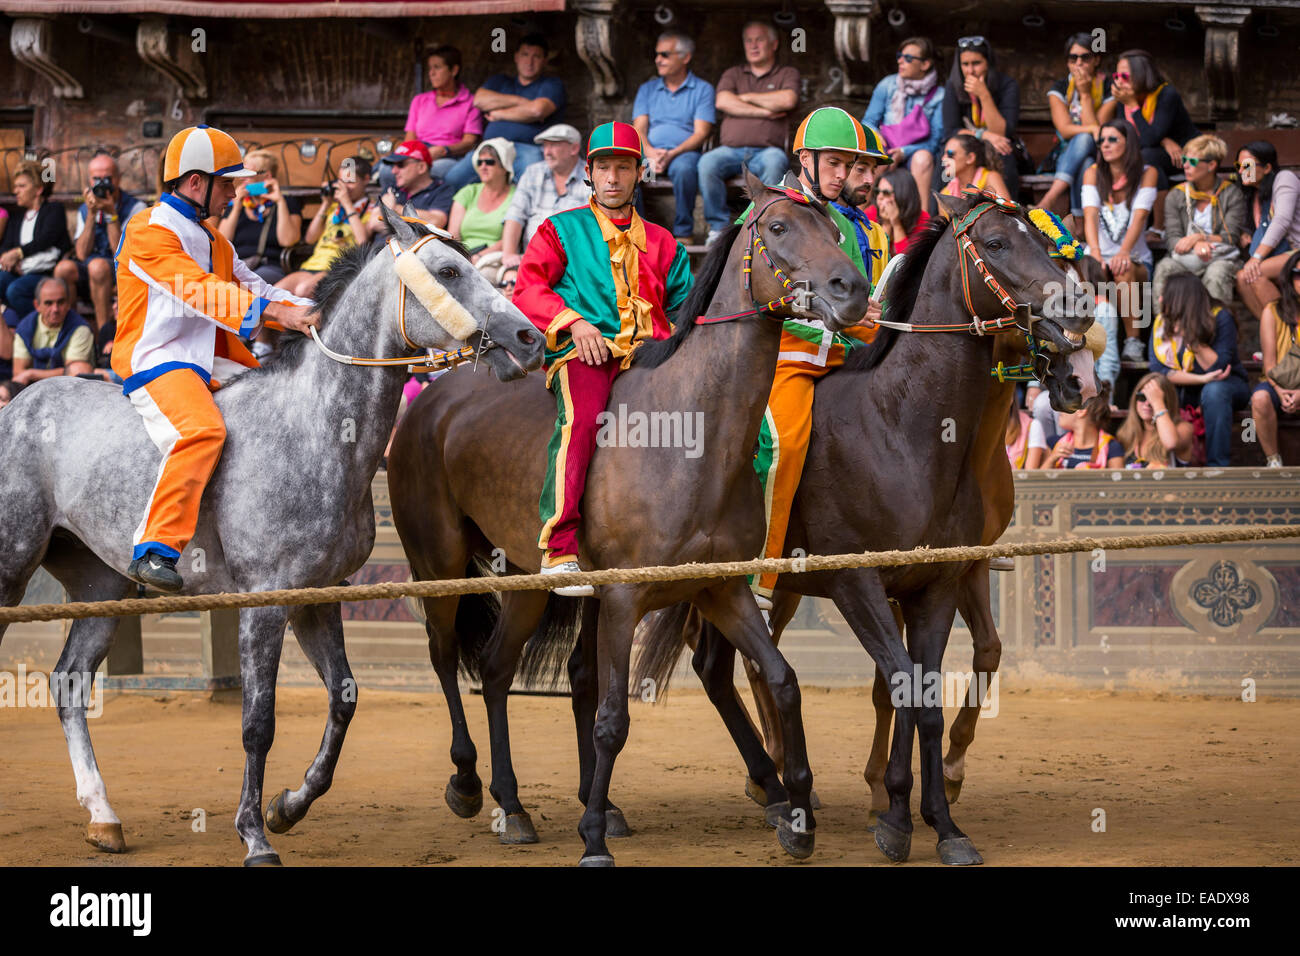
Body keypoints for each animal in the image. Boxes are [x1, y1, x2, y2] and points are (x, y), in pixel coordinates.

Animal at [387, 171, 873, 868]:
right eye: (779, 228)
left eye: (834, 230)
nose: (851, 289)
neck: (692, 435)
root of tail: (432, 400)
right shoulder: (622, 599)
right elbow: (612, 718)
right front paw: (592, 837)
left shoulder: (722, 589)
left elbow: (781, 679)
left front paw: (797, 815)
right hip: (440, 563)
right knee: (447, 654)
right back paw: (470, 784)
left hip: (527, 579)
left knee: (499, 668)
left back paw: (515, 804)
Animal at [637, 188, 1097, 868]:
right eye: (995, 243)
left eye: (1046, 242)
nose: (1079, 316)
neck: (902, 426)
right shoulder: (859, 584)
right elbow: (900, 684)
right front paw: (899, 813)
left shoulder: (938, 582)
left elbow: (922, 692)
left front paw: (934, 821)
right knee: (731, 669)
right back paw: (777, 787)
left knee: (721, 669)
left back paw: (776, 788)